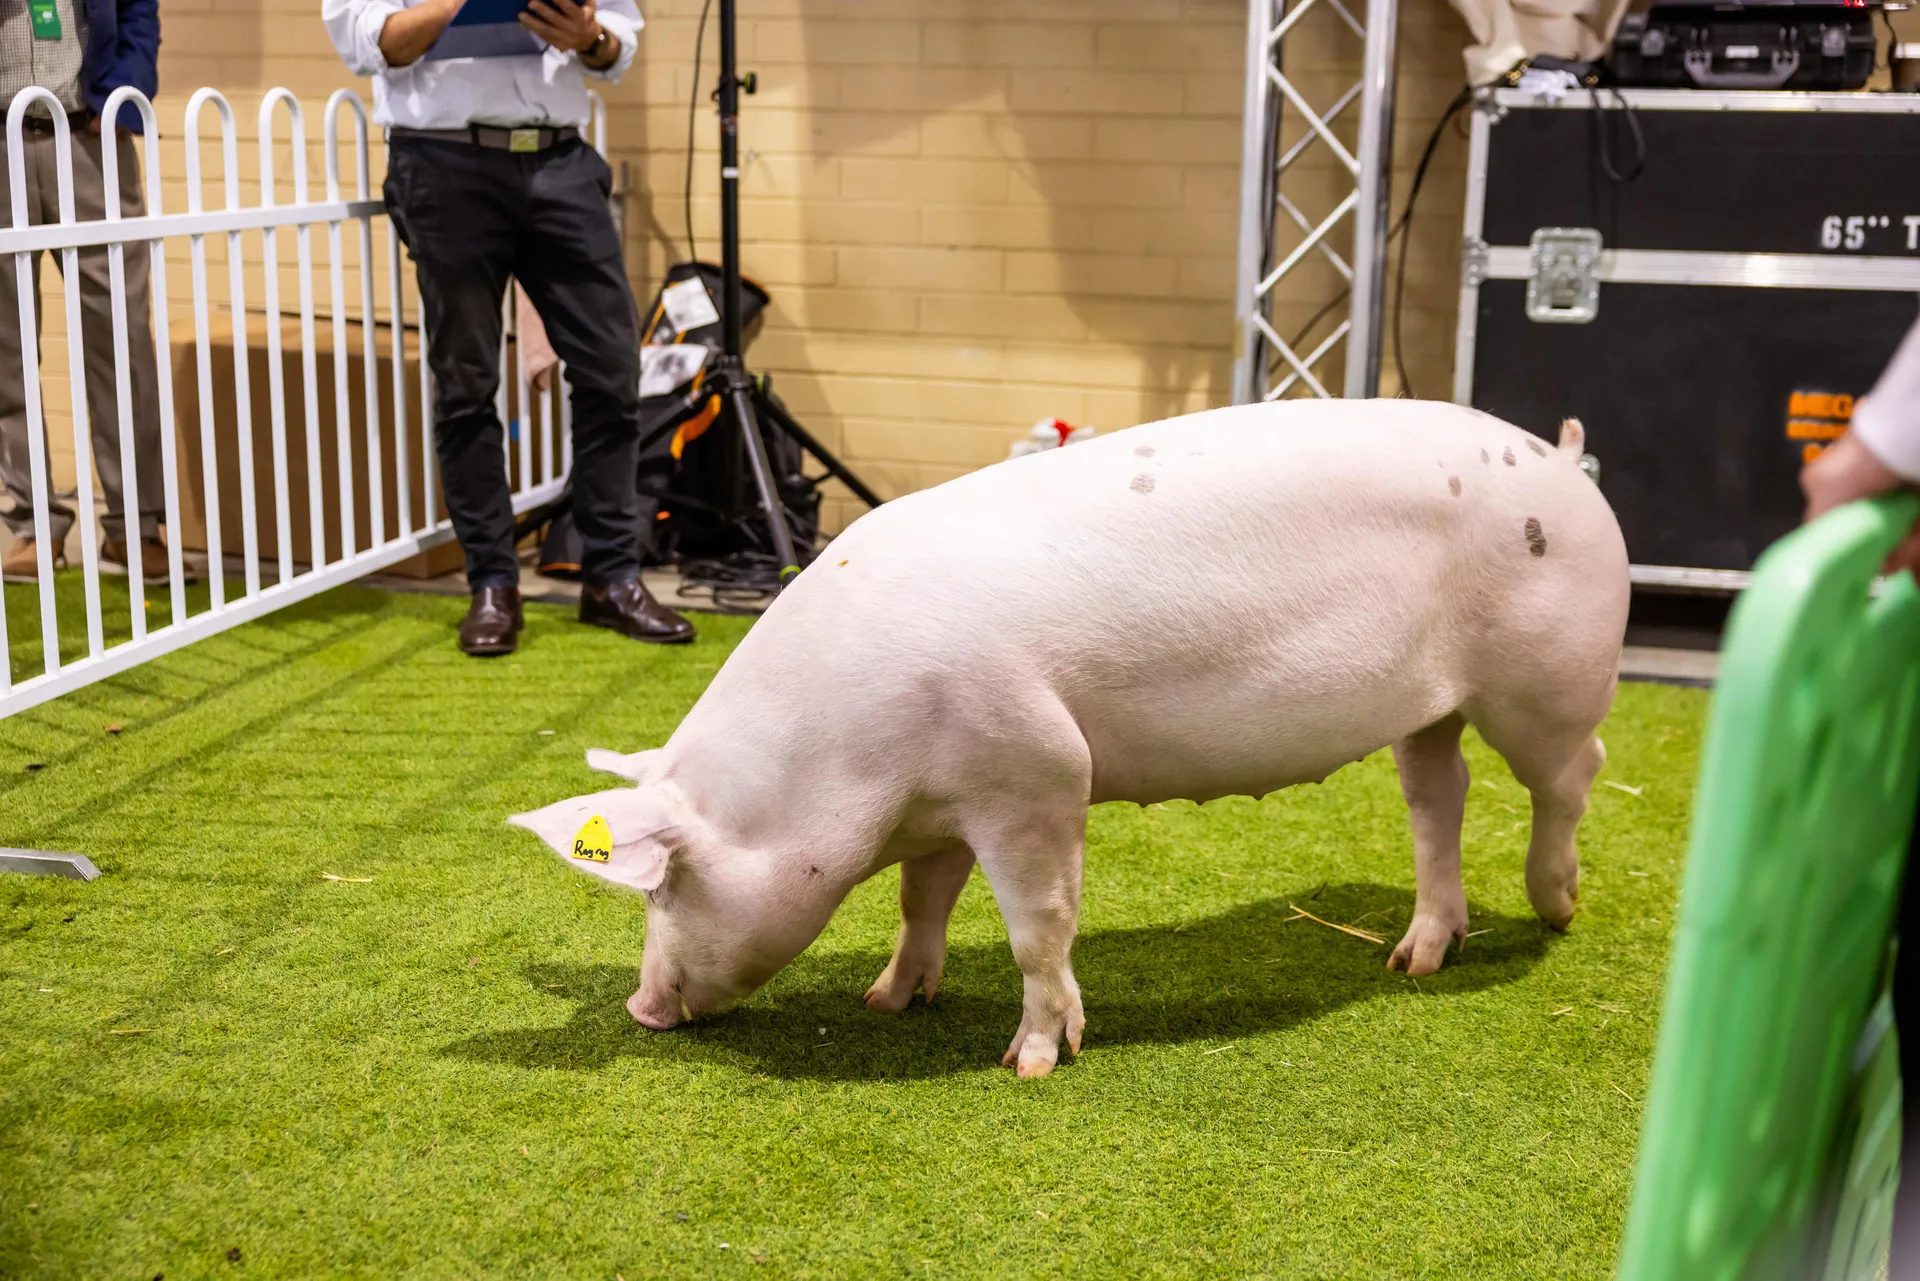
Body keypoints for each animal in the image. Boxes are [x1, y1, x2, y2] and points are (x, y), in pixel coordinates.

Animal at [509, 398, 1630, 1078]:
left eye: (664, 884)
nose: (641, 1008)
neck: (849, 767)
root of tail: (1567, 458)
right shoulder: (947, 804)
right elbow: (923, 902)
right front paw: (887, 1002)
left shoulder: (1036, 774)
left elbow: (1037, 925)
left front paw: (1033, 1059)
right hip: (1430, 711)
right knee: (1440, 798)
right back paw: (1414, 961)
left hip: (1549, 678)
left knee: (1574, 774)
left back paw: (1557, 908)